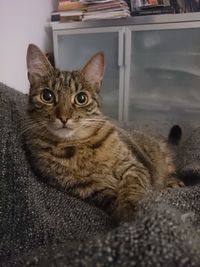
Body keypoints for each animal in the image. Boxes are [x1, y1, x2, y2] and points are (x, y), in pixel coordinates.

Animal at [24, 44, 184, 222]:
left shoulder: (132, 165)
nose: (64, 117)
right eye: (47, 96)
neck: (77, 144)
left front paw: (131, 211)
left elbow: (132, 186)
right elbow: (112, 197)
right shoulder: (89, 187)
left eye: (81, 98)